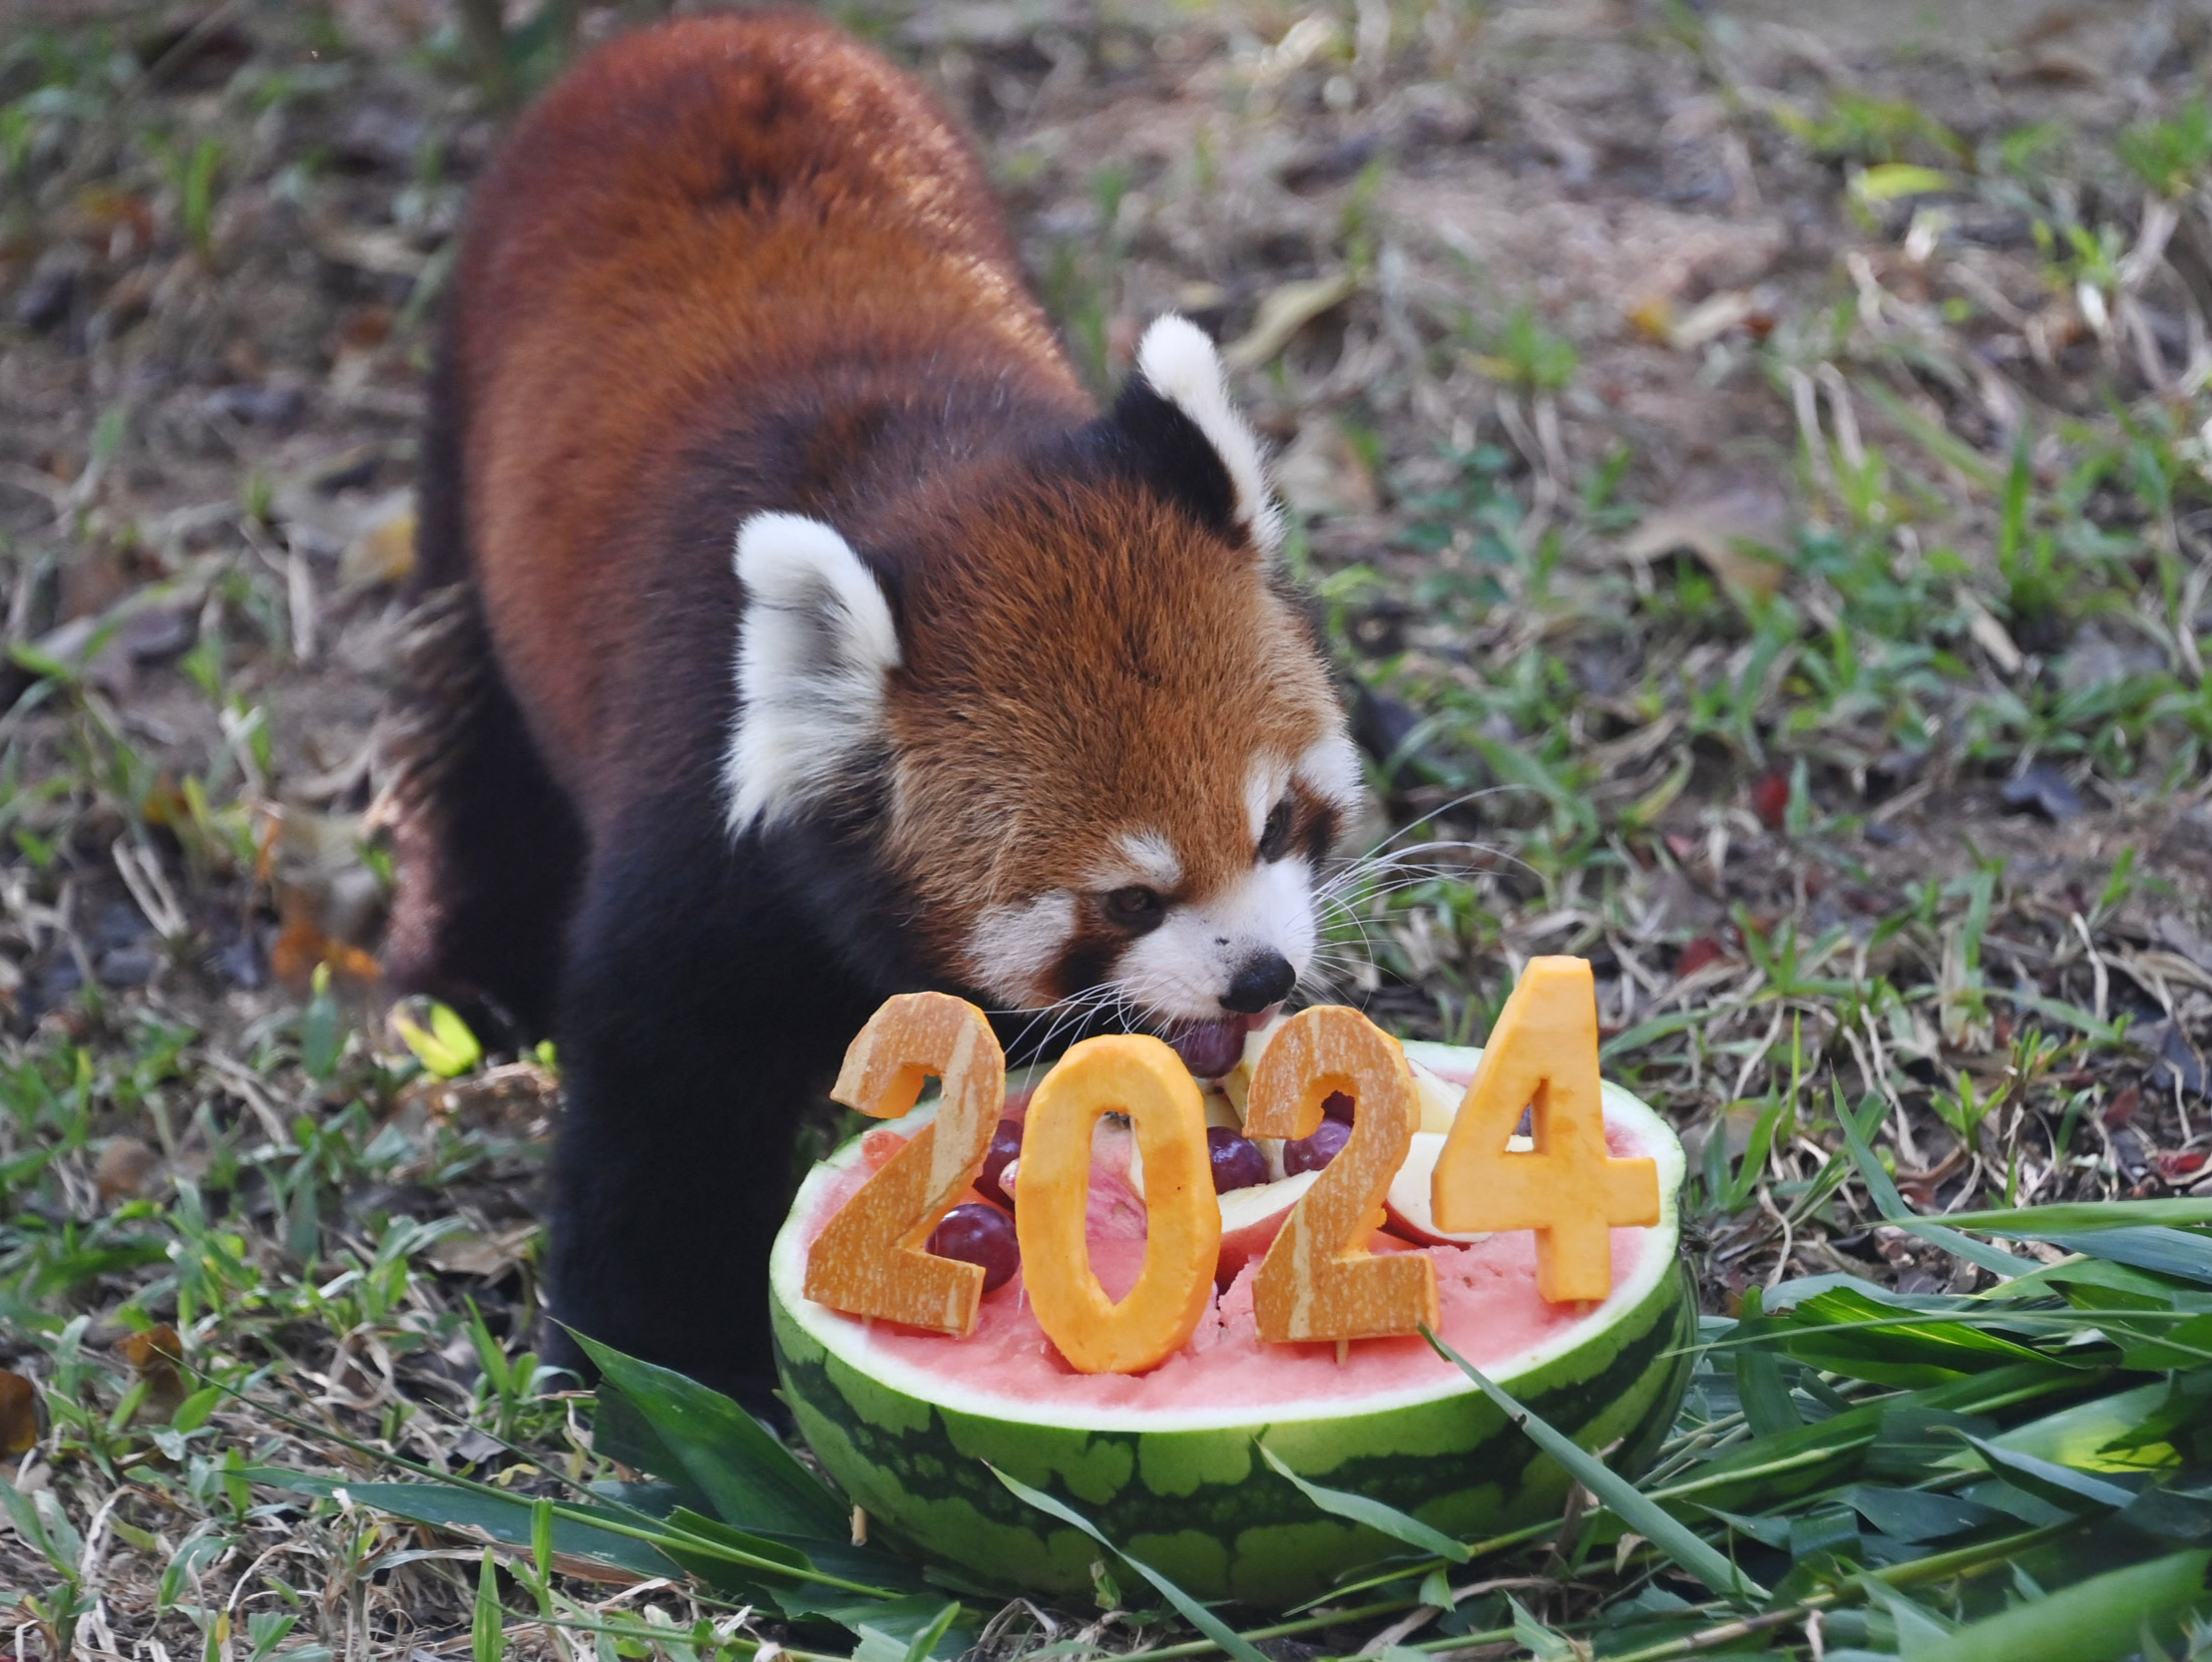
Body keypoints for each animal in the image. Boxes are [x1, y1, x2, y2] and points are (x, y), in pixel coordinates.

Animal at [393, 6, 1362, 1399]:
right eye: (1128, 899)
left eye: (1279, 823)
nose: (1260, 977)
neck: (937, 476)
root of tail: (701, 34)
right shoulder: (704, 820)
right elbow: (664, 1094)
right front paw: (664, 1369)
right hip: (464, 426)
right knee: (472, 728)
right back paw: (472, 964)